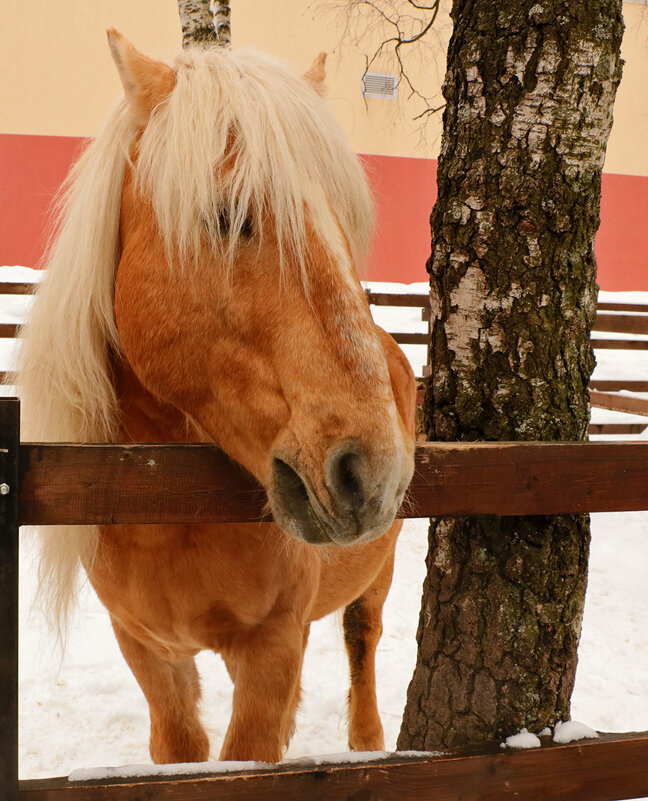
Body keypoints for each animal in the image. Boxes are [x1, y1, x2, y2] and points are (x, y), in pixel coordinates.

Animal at [19, 31, 420, 764]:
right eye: (229, 216)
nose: (372, 471)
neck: (167, 507)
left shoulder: (268, 648)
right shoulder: (149, 651)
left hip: (375, 576)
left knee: (363, 638)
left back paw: (367, 740)